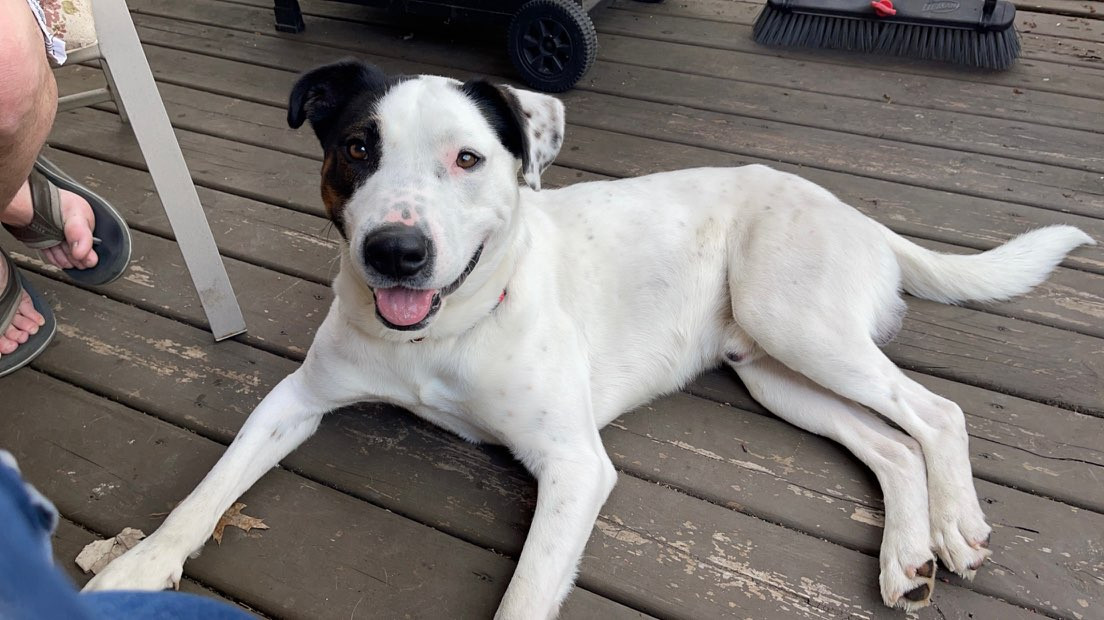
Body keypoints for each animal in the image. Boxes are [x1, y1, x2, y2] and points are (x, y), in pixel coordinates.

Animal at [84, 60, 1093, 617]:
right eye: (356, 149)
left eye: (468, 158)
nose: (397, 253)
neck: (442, 335)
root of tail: (859, 214)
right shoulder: (296, 400)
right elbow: (205, 493)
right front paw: (136, 565)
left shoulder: (574, 465)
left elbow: (529, 594)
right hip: (772, 369)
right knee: (888, 443)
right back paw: (907, 558)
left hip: (797, 325)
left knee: (936, 412)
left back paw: (955, 526)